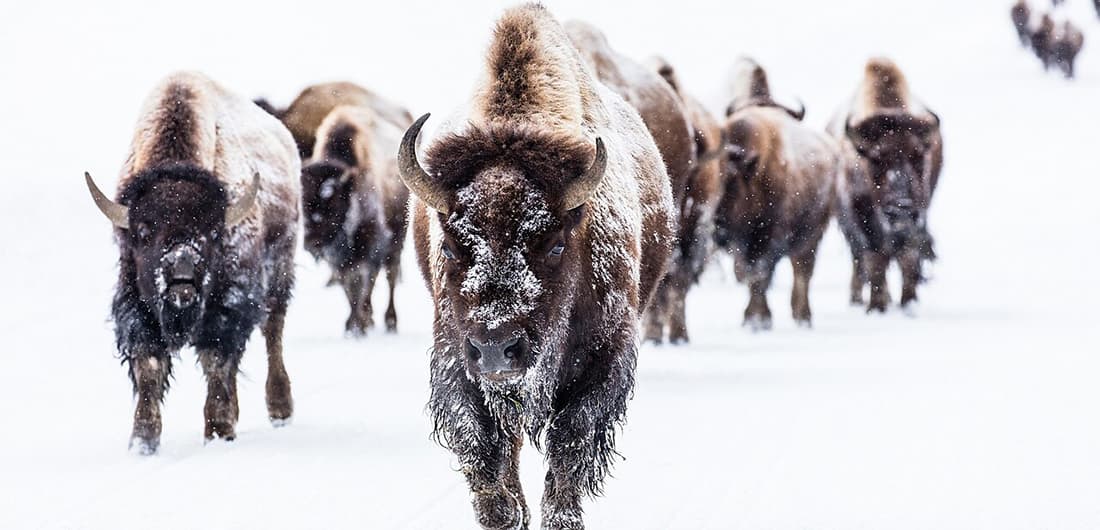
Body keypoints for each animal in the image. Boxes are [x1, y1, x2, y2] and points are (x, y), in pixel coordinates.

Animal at [85, 72, 300, 453]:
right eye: (143, 232)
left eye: (213, 232)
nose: (181, 278)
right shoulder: (136, 305)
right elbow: (149, 365)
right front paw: (143, 441)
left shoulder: (227, 307)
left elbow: (216, 361)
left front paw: (218, 430)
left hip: (280, 274)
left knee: (273, 333)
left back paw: (280, 410)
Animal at [401, 4, 673, 528]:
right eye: (450, 246)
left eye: (553, 244)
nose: (496, 349)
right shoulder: (456, 361)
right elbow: (482, 449)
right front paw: (506, 513)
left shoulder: (604, 360)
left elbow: (570, 444)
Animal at [829, 58, 944, 312]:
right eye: (875, 158)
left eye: (918, 155)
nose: (901, 207)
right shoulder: (863, 222)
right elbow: (875, 261)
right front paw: (877, 306)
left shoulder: (918, 218)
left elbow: (908, 258)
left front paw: (909, 302)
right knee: (860, 260)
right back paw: (858, 299)